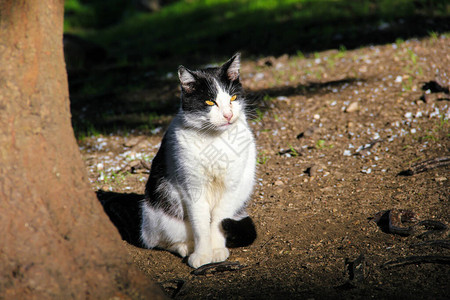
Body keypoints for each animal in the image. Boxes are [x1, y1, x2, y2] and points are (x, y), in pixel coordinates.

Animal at [142, 52, 258, 268]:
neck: (215, 141)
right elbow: (201, 225)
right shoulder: (193, 189)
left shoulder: (232, 187)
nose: (228, 115)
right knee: (159, 241)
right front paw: (202, 255)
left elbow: (219, 220)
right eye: (210, 103)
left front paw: (217, 250)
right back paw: (186, 247)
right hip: (158, 215)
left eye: (233, 98)